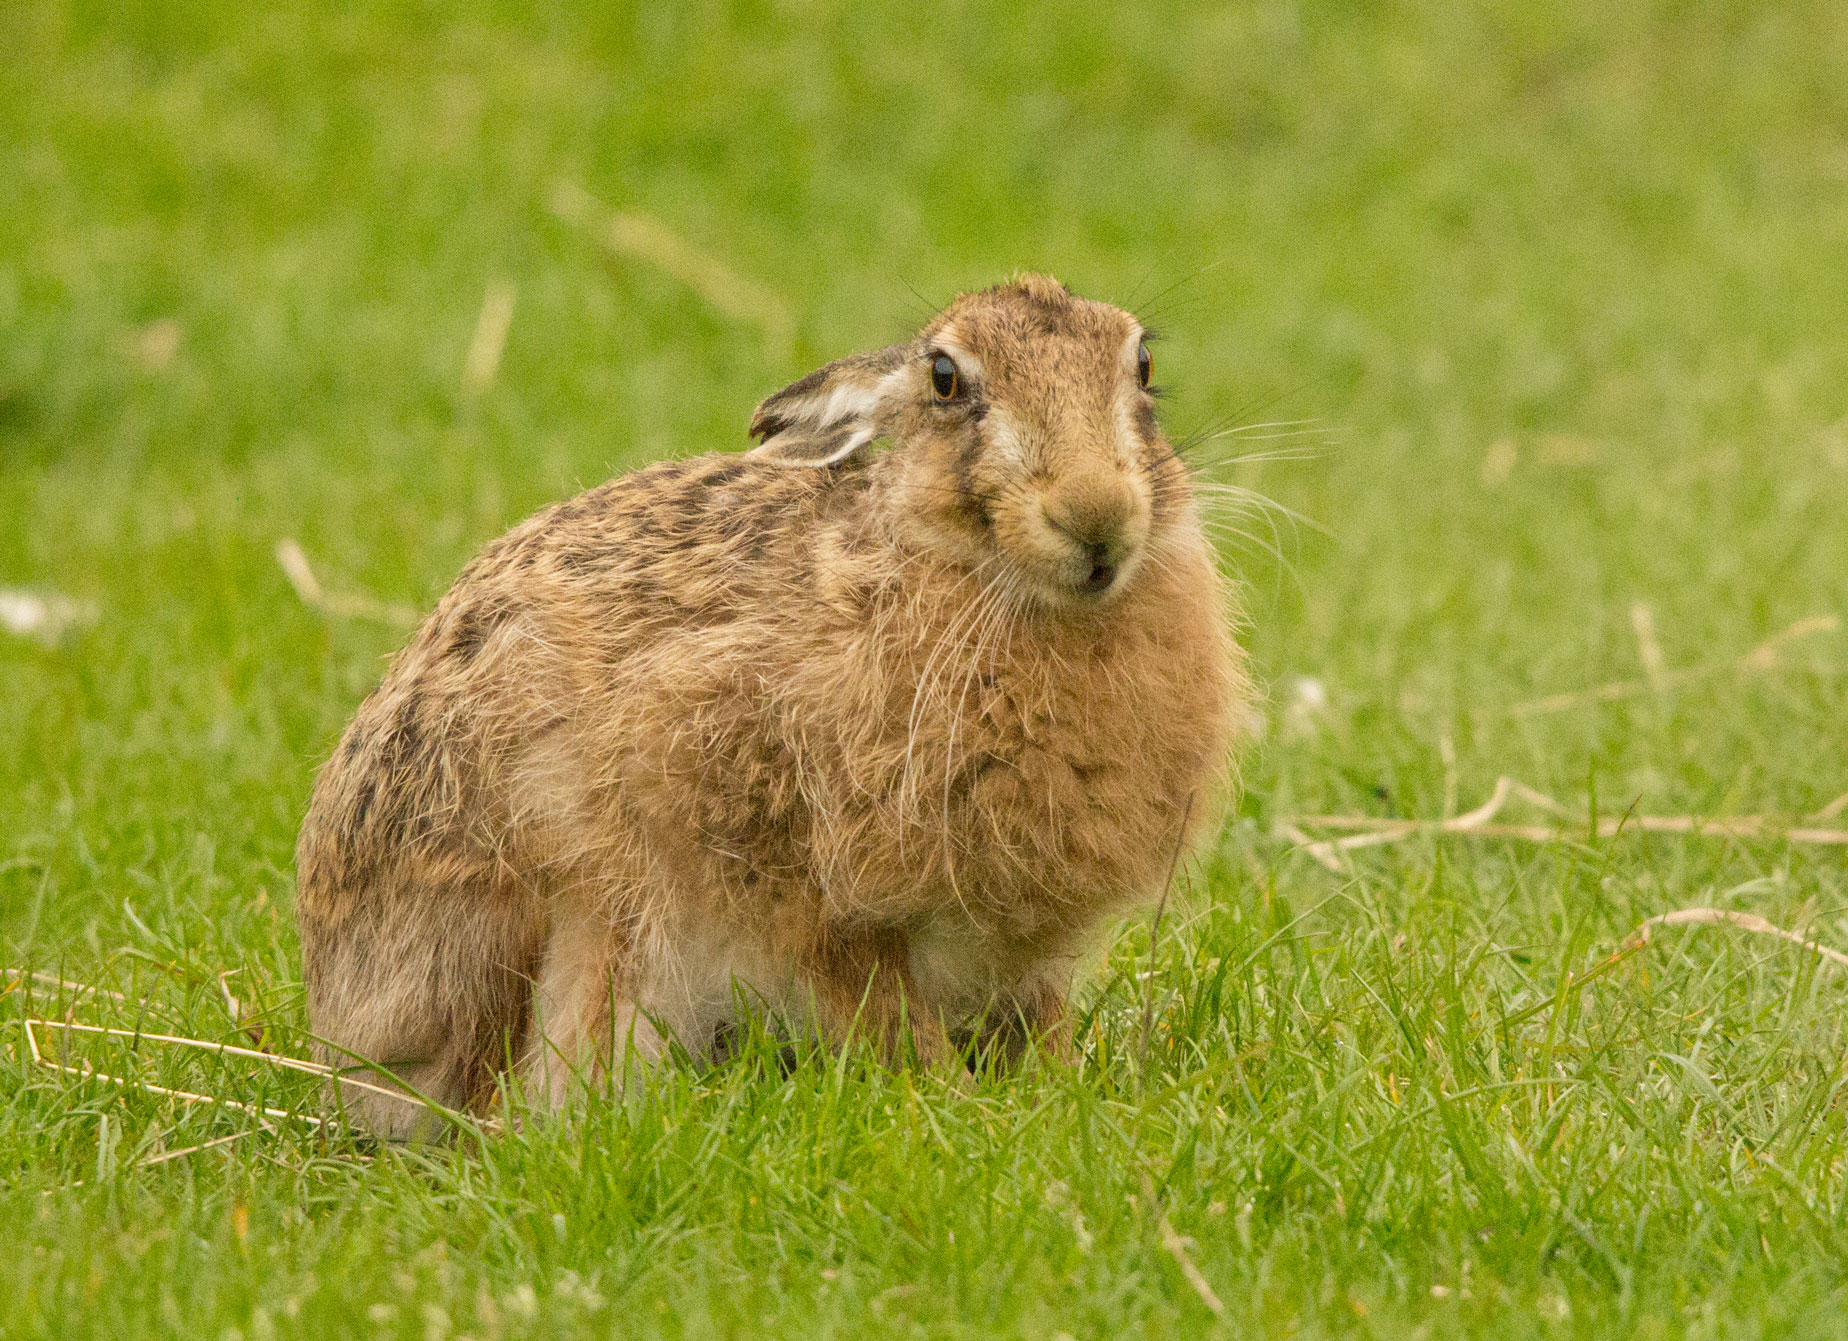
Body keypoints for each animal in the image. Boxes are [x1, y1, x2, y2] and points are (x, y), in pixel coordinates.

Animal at [294, 273, 1251, 1134]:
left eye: (1142, 364)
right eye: (947, 379)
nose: (1097, 515)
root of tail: (345, 1026)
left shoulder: (1027, 952)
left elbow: (1035, 1017)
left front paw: (1056, 1087)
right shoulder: (801, 888)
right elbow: (882, 1006)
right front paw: (961, 1102)